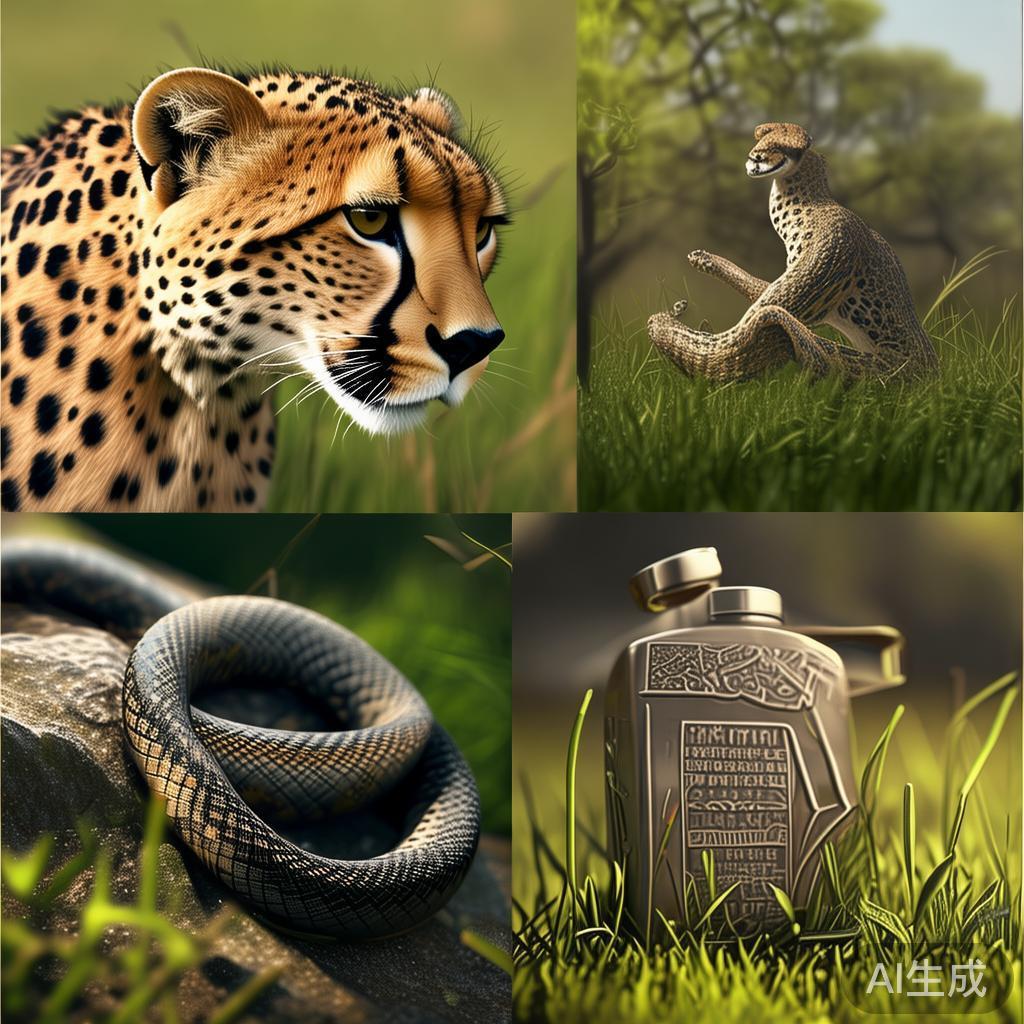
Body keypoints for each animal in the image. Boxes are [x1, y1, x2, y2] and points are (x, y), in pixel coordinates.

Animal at [647, 122, 939, 382]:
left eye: (777, 147)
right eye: (760, 141)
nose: (754, 157)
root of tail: (934, 373)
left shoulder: (818, 270)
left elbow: (754, 309)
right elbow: (754, 288)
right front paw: (702, 258)